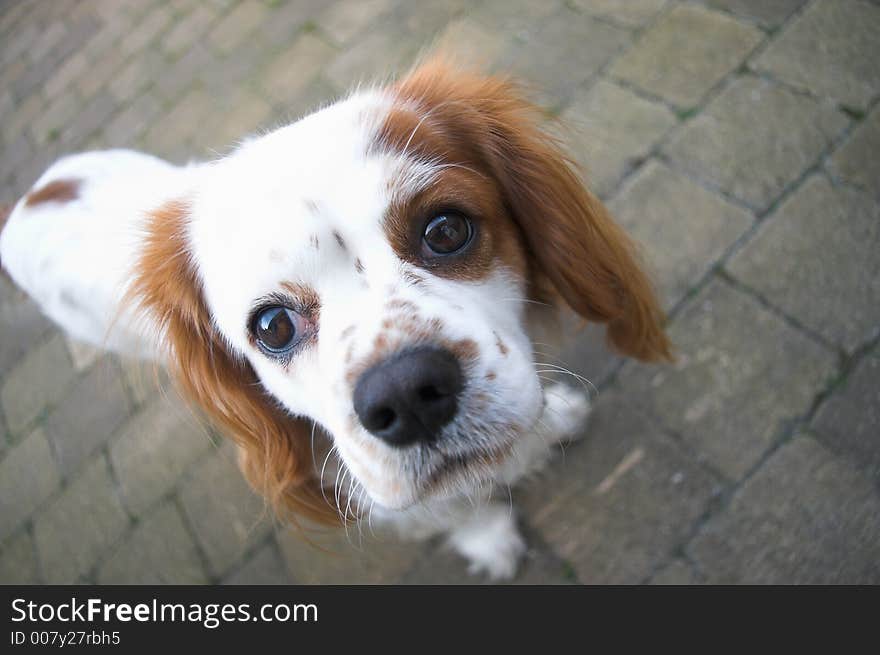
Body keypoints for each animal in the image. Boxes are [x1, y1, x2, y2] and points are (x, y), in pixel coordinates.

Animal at [0, 57, 672, 580]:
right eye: (272, 327)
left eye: (446, 230)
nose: (406, 394)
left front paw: (553, 417)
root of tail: (30, 196)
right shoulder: (367, 482)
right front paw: (490, 539)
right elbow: (450, 509)